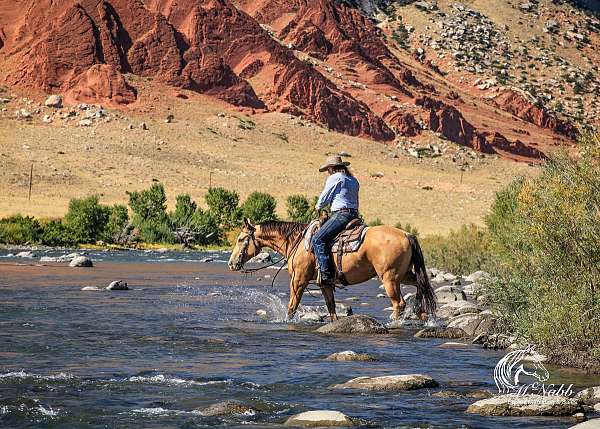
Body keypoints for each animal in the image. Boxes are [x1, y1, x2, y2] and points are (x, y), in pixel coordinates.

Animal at [226, 219, 436, 320]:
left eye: (241, 239)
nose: (231, 263)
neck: (297, 242)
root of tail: (407, 234)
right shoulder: (324, 283)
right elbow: (331, 309)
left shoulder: (298, 280)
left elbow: (292, 307)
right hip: (404, 275)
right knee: (421, 285)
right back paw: (422, 313)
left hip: (389, 278)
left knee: (399, 303)